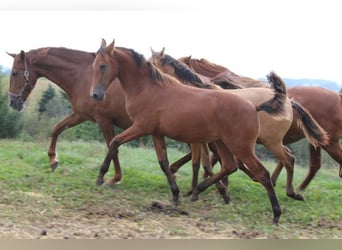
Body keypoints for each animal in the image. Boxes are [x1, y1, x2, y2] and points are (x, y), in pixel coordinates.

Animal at [90, 38, 286, 225]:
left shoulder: (141, 127)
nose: (95, 95)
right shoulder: (156, 133)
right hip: (222, 143)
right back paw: (199, 190)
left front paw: (101, 177)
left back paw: (276, 214)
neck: (148, 88)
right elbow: (164, 163)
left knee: (262, 174)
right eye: (94, 65)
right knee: (229, 166)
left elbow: (115, 141)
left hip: (241, 147)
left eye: (103, 65)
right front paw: (176, 195)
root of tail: (253, 106)